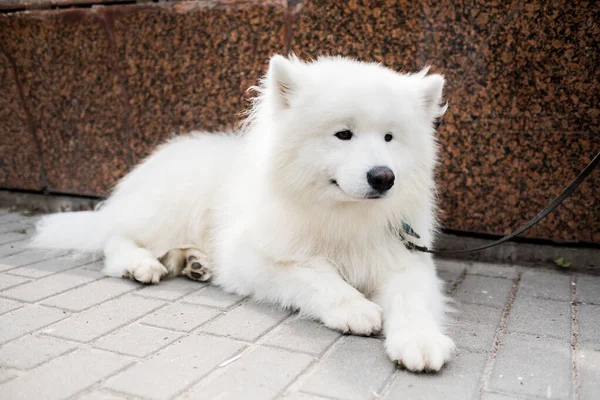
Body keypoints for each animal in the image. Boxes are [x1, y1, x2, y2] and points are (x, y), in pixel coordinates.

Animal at [31, 55, 454, 372]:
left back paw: (194, 262)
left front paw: (421, 341)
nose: (383, 177)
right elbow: (318, 276)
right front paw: (355, 308)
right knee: (115, 237)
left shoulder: (405, 260)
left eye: (390, 137)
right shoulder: (257, 257)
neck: (343, 216)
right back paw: (141, 264)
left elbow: (413, 301)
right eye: (343, 134)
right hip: (170, 207)